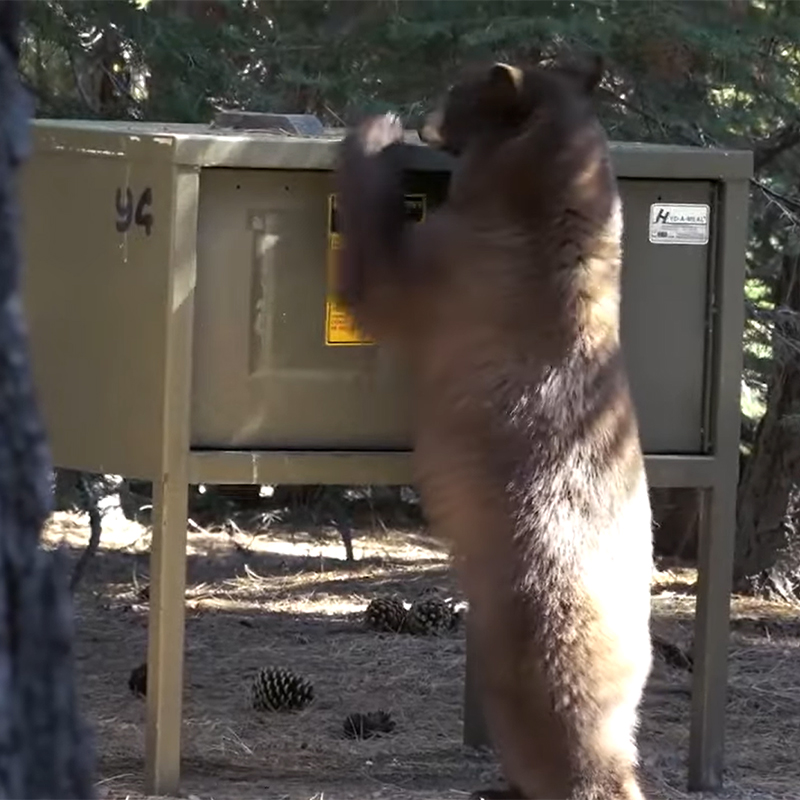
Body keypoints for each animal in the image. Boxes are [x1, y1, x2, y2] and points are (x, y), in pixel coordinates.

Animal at [334, 57, 652, 800]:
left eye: (456, 91)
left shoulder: (460, 267)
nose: (426, 116)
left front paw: (372, 135)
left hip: (531, 648)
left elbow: (379, 281)